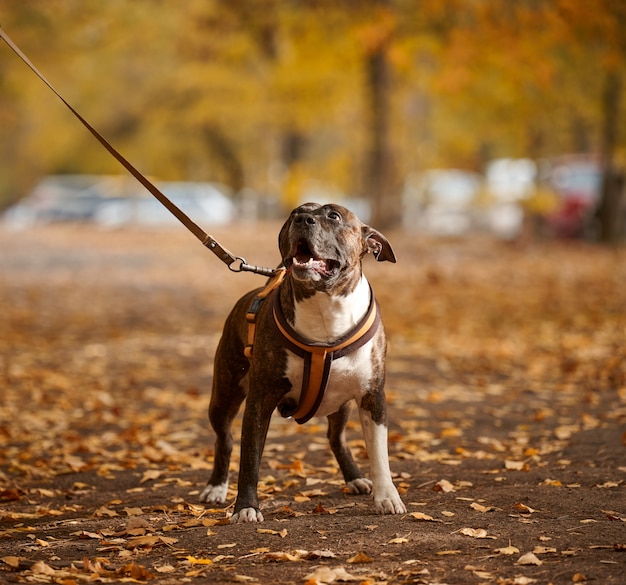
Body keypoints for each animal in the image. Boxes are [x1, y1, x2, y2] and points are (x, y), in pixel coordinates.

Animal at [197, 203, 408, 524]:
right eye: (295, 212)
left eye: (333, 216)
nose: (301, 219)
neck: (326, 305)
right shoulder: (260, 399)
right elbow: (250, 457)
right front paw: (246, 507)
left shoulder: (372, 397)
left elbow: (379, 454)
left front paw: (387, 497)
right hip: (225, 394)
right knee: (225, 439)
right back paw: (216, 487)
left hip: (340, 404)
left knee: (336, 438)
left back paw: (354, 478)